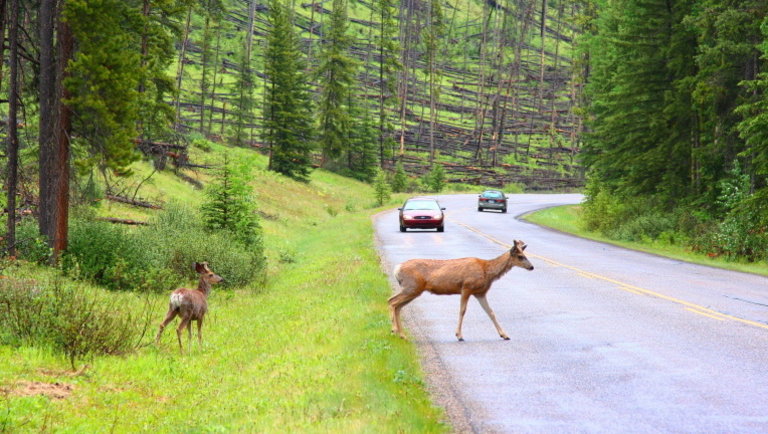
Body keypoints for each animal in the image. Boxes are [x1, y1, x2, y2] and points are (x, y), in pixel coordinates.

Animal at [390, 239, 536, 340]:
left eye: (525, 254)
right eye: (520, 256)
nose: (532, 267)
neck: (486, 271)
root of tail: (396, 269)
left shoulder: (480, 293)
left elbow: (490, 312)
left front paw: (504, 335)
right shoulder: (466, 287)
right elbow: (462, 310)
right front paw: (459, 335)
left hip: (413, 289)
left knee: (397, 305)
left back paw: (402, 334)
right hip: (412, 287)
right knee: (392, 302)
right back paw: (394, 330)